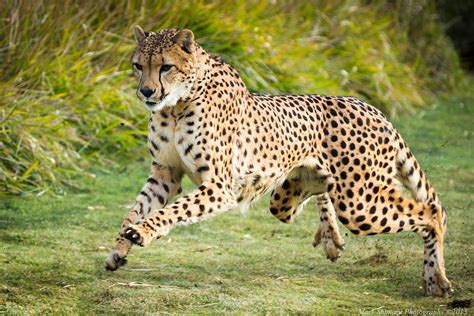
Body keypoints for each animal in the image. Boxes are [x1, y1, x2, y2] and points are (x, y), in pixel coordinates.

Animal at [104, 26, 452, 296]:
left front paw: (143, 232)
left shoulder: (219, 187)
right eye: (138, 65)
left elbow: (173, 211)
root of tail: (371, 108)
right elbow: (134, 209)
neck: (177, 103)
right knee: (321, 193)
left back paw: (435, 277)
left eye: (166, 67)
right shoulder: (166, 172)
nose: (146, 92)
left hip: (359, 203)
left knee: (431, 211)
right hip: (288, 197)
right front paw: (118, 249)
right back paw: (330, 235)